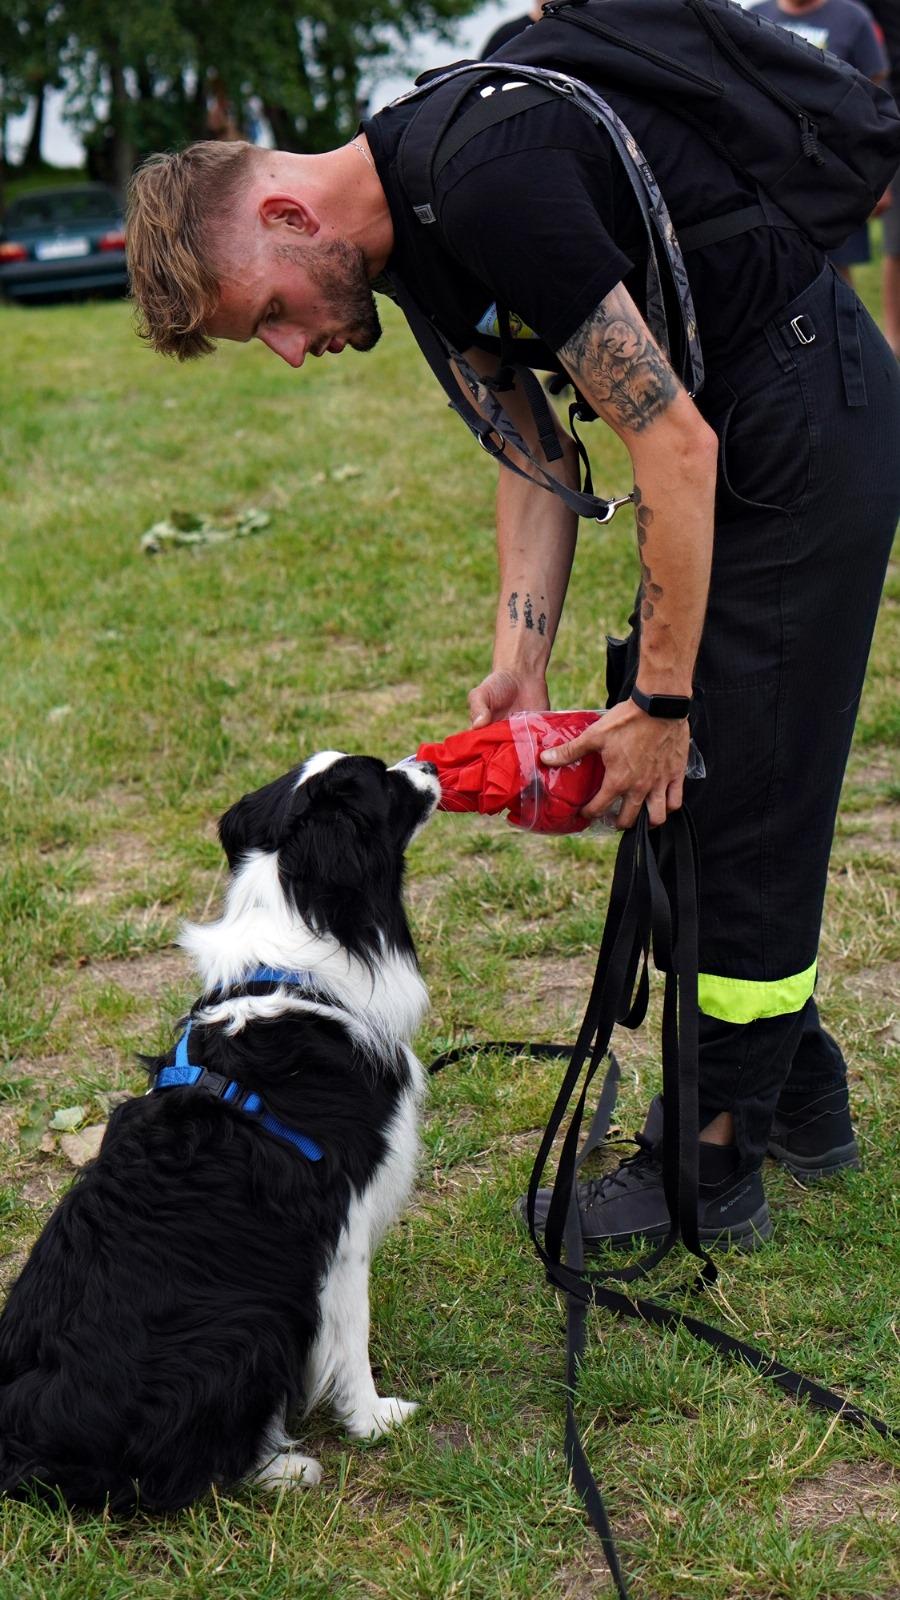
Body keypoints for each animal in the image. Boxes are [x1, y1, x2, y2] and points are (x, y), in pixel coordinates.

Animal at [0, 751, 440, 1511]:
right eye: (383, 778)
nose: (430, 761)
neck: (293, 969)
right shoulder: (343, 1226)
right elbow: (351, 1339)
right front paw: (374, 1420)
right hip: (248, 1324)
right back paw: (284, 1469)